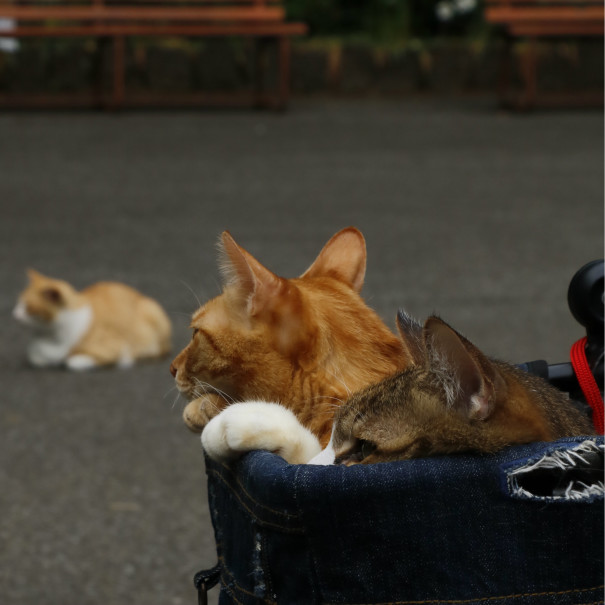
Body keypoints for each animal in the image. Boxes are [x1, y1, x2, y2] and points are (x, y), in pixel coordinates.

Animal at [13, 268, 172, 368]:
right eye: (19, 302)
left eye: (28, 307)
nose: (15, 314)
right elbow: (35, 357)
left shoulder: (113, 348)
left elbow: (71, 361)